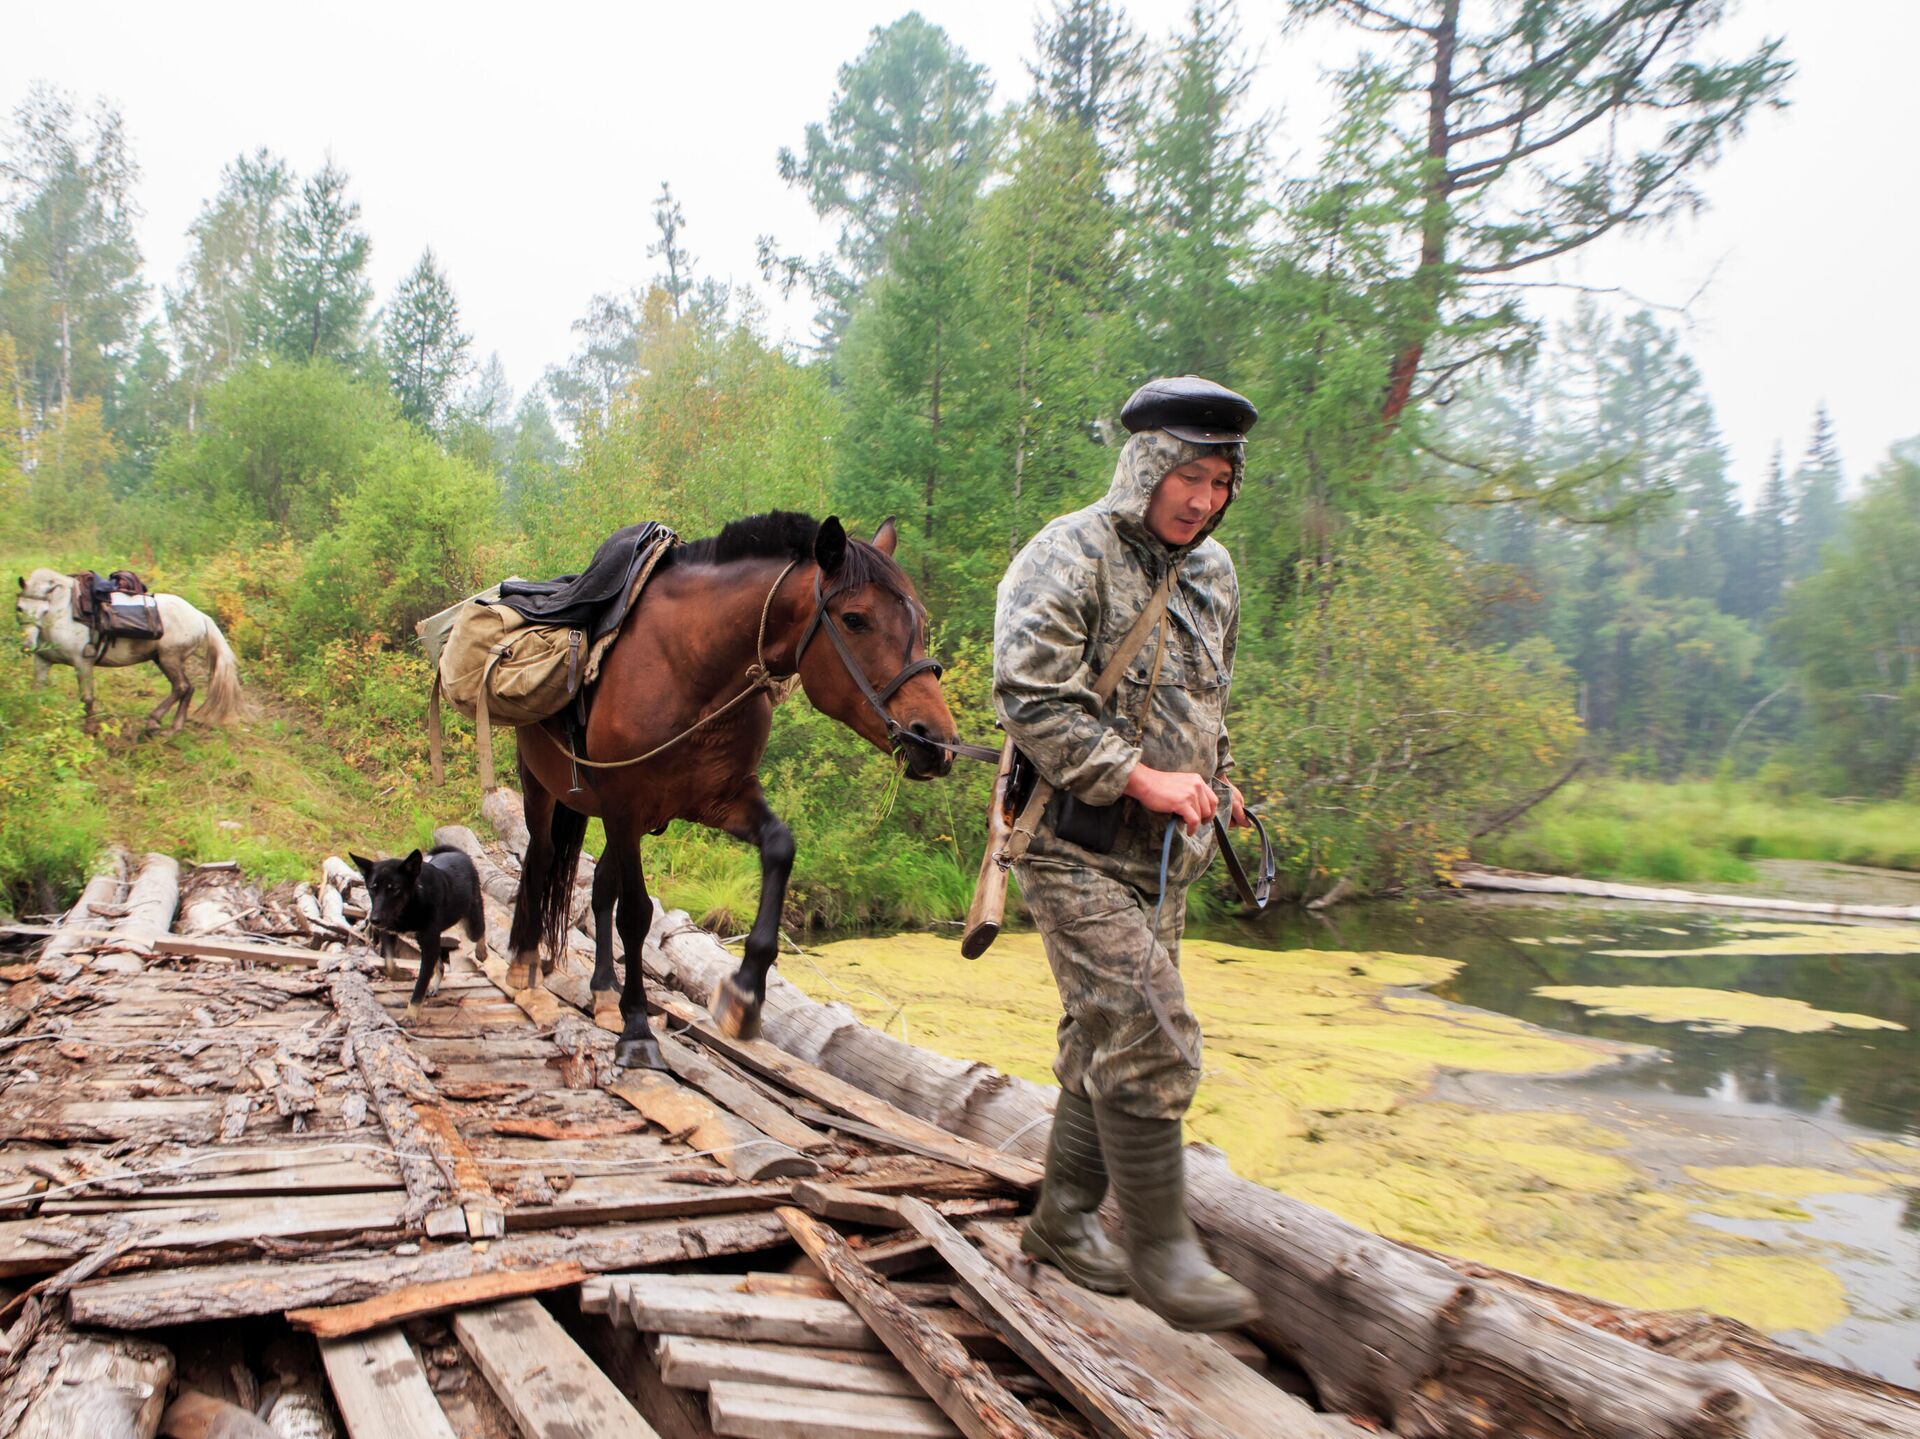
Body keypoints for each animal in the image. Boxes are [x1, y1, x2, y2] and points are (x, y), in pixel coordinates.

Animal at [15, 568, 243, 733]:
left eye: (44, 611)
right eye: (19, 608)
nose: (27, 645)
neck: (65, 612)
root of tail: (199, 615)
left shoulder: (82, 662)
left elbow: (87, 698)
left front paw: (89, 729)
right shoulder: (43, 660)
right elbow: (36, 691)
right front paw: (33, 721)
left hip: (169, 657)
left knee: (181, 687)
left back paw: (155, 722)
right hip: (162, 659)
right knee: (187, 688)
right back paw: (173, 727)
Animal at [351, 849, 487, 1014]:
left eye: (395, 889)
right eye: (372, 888)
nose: (374, 920)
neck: (411, 904)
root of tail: (458, 852)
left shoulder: (428, 944)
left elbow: (420, 985)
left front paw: (411, 1015)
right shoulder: (390, 933)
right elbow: (388, 964)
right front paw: (401, 975)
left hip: (470, 923)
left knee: (481, 932)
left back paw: (482, 952)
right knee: (440, 964)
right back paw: (434, 984)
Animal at [510, 507, 960, 1068]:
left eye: (918, 620)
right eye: (856, 619)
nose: (936, 742)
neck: (687, 667)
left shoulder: (718, 799)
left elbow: (780, 848)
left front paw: (744, 994)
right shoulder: (624, 807)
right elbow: (636, 914)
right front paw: (637, 1028)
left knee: (599, 889)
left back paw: (604, 991)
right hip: (544, 791)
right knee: (541, 859)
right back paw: (524, 965)